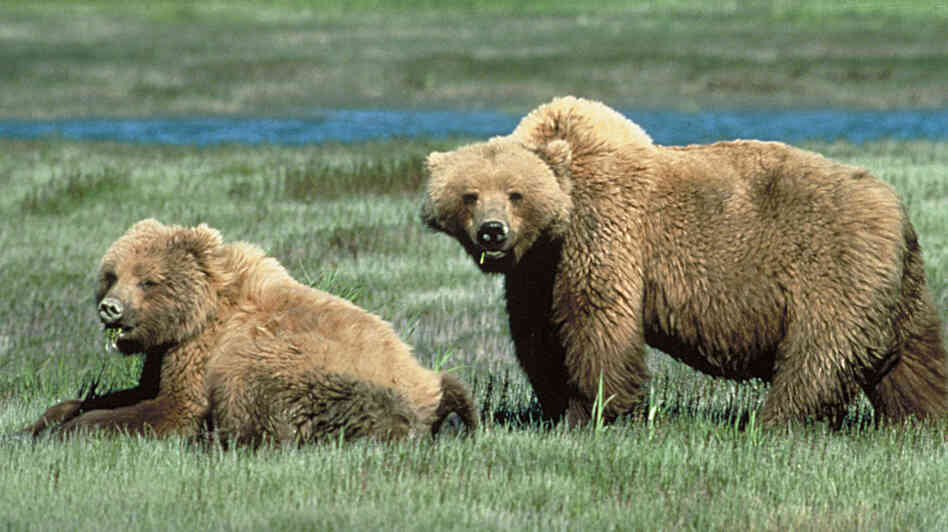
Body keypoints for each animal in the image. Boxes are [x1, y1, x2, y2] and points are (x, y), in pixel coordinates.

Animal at [23, 219, 477, 444]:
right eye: (112, 274)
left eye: (148, 280)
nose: (111, 308)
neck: (198, 314)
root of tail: (429, 386)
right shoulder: (166, 351)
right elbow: (135, 391)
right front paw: (42, 422)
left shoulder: (202, 350)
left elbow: (173, 407)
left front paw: (75, 429)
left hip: (314, 368)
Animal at [421, 95, 947, 429]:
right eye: (469, 194)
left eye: (516, 193)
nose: (493, 231)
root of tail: (896, 207)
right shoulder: (535, 270)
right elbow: (538, 335)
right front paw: (556, 406)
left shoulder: (604, 233)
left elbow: (597, 322)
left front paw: (596, 410)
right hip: (897, 285)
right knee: (914, 357)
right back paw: (923, 419)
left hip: (831, 265)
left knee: (820, 354)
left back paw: (774, 422)